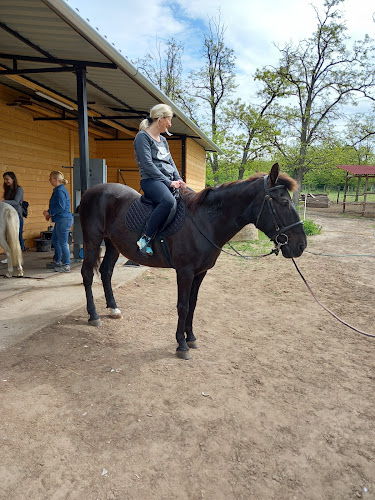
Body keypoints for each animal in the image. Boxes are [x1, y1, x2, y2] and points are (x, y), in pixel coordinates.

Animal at [80, 164, 308, 360]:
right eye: (284, 203)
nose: (301, 245)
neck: (205, 221)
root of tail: (91, 192)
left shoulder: (200, 272)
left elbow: (193, 304)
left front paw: (191, 338)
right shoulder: (185, 272)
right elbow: (183, 306)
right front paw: (181, 345)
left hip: (112, 244)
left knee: (106, 271)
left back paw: (113, 308)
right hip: (92, 242)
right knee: (88, 275)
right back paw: (93, 315)